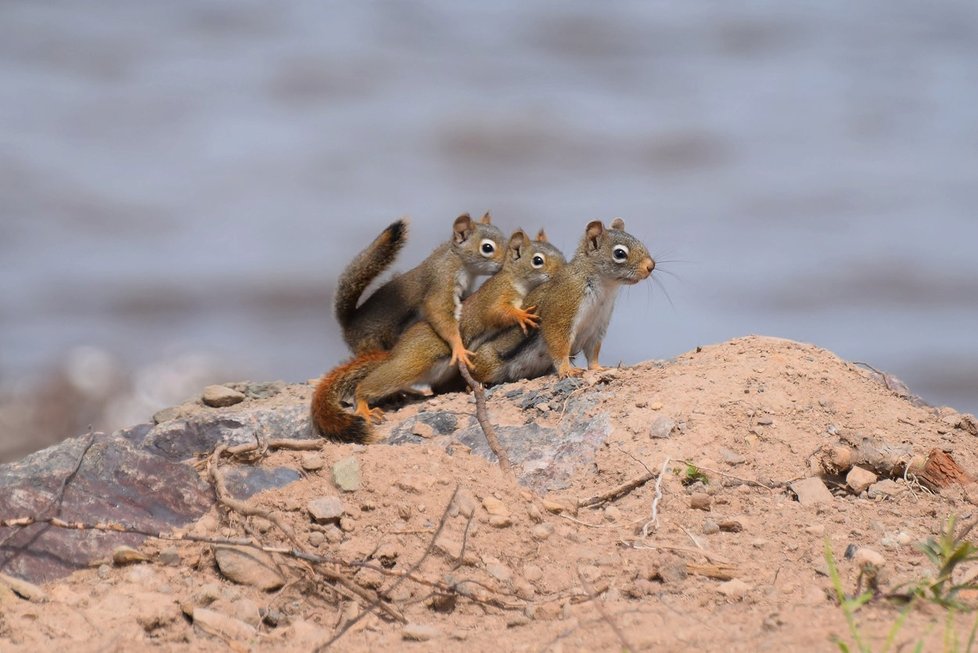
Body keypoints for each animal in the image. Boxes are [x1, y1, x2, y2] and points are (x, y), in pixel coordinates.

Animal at [304, 230, 564, 444]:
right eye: (538, 260)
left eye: (560, 253)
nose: (562, 271)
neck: (516, 280)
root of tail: (396, 351)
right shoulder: (496, 296)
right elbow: (498, 312)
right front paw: (521, 315)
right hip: (411, 363)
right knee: (373, 383)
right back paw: (363, 404)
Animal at [334, 211, 508, 364]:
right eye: (487, 248)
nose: (506, 263)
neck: (459, 262)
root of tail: (349, 325)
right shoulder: (441, 280)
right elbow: (438, 311)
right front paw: (458, 348)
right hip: (371, 343)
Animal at [468, 219, 652, 382]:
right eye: (620, 253)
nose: (651, 266)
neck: (605, 290)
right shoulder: (563, 306)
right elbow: (559, 344)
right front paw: (566, 370)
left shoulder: (597, 326)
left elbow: (593, 352)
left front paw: (598, 368)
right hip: (487, 361)